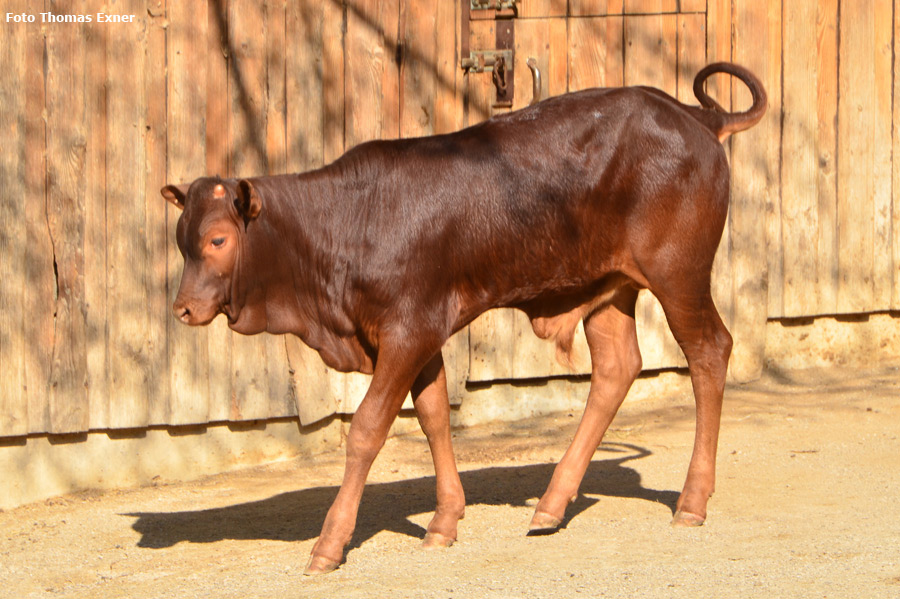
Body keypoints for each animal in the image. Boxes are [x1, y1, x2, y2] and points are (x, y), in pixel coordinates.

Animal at [162, 62, 768, 576]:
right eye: (181, 239)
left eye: (218, 240)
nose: (183, 308)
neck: (347, 223)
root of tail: (693, 116)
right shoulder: (421, 335)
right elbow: (434, 417)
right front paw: (444, 520)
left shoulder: (408, 332)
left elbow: (367, 429)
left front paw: (329, 544)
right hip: (606, 287)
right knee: (617, 368)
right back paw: (551, 504)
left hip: (678, 274)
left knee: (709, 351)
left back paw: (691, 500)